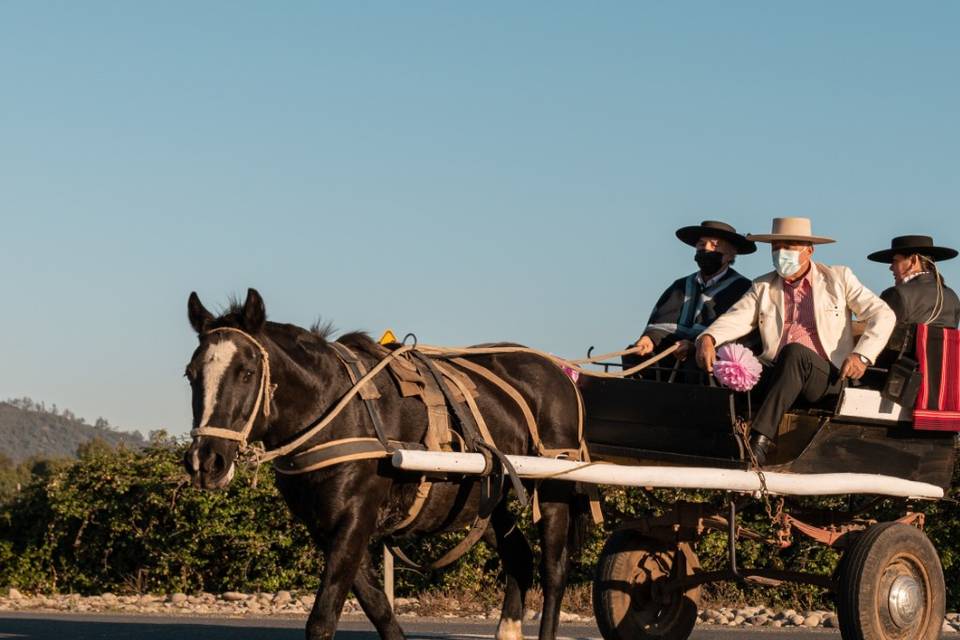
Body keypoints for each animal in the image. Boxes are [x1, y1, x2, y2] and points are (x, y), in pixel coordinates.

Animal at [180, 290, 592, 640]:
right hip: (486, 500)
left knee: (554, 572)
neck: (336, 411)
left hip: (554, 486)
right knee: (519, 558)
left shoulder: (355, 516)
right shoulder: (327, 527)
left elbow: (322, 619)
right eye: (191, 373)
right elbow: (378, 608)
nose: (206, 461)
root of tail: (556, 370)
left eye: (246, 372)